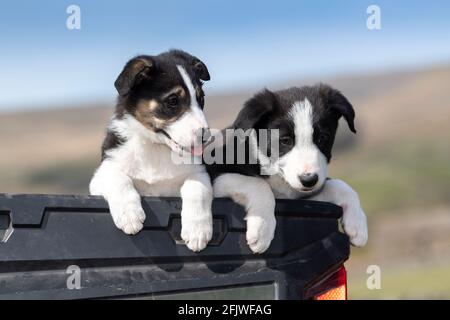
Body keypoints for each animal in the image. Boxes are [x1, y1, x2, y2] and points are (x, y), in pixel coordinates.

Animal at [90, 50, 214, 251]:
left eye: (201, 99)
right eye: (173, 101)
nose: (206, 136)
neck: (155, 147)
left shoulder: (199, 172)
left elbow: (196, 188)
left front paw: (197, 230)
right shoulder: (102, 174)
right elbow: (119, 178)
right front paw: (129, 215)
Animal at [209, 84, 368, 252]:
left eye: (322, 138)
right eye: (285, 140)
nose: (308, 180)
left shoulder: (306, 197)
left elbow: (339, 184)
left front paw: (357, 222)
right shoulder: (215, 175)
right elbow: (259, 183)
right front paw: (262, 228)